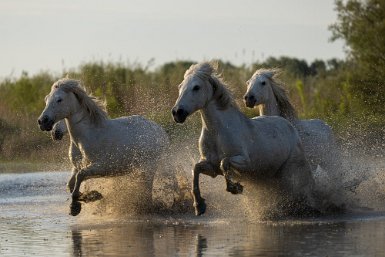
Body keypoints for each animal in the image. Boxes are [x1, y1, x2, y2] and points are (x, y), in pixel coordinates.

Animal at [38, 78, 169, 214]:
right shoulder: (77, 166)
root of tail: (161, 131)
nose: (42, 122)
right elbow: (71, 184)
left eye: (59, 99)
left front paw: (79, 204)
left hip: (149, 168)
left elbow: (80, 177)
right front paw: (90, 195)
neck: (85, 137)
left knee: (147, 192)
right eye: (46, 99)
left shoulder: (102, 166)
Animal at [171, 61, 316, 214]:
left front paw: (235, 188)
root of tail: (289, 125)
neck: (218, 132)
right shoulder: (211, 167)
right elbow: (196, 169)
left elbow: (224, 162)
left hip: (291, 170)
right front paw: (199, 205)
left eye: (196, 87)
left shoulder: (246, 162)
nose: (177, 112)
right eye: (180, 86)